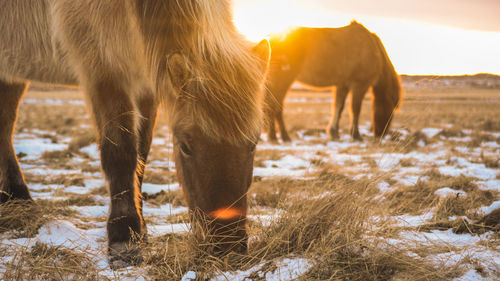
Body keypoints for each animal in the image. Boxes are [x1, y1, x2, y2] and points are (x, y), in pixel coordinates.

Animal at [0, 0, 270, 266]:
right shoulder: (105, 73)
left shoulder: (145, 86)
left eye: (253, 143)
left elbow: (141, 153)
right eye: (185, 145)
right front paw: (124, 238)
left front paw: (141, 231)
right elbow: (121, 152)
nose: (228, 249)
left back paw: (16, 201)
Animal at [266, 21, 402, 142]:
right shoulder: (360, 85)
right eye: (391, 111)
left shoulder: (343, 85)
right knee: (275, 105)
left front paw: (334, 133)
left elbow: (339, 107)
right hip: (283, 80)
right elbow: (355, 109)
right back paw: (281, 136)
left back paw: (274, 136)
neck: (373, 48)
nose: (380, 134)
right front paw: (356, 135)